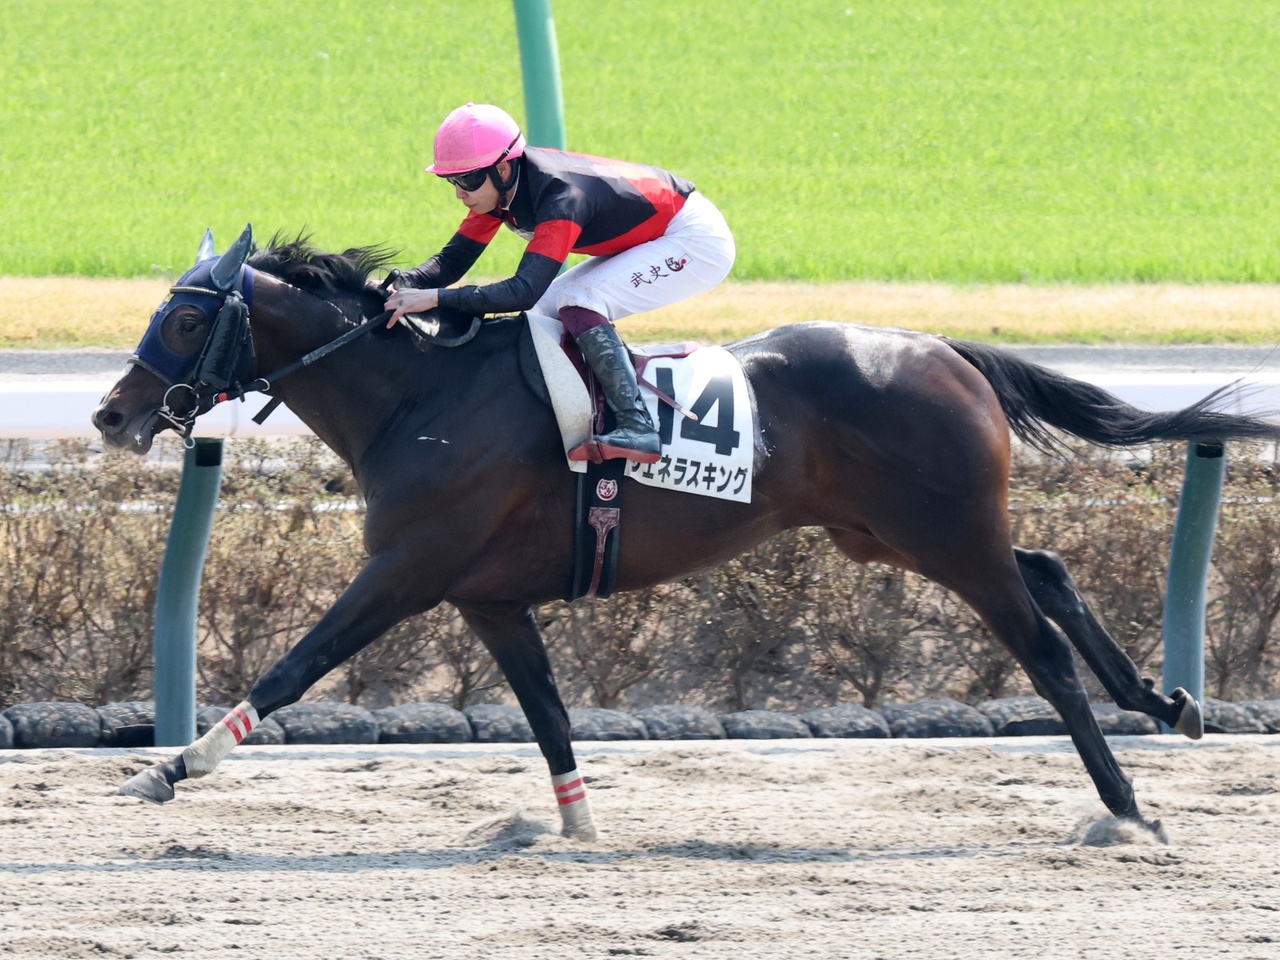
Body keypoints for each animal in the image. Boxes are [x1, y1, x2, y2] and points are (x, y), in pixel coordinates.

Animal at [93, 225, 1280, 842]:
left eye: (187, 316)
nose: (110, 413)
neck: (417, 398)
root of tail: (945, 348)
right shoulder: (487, 597)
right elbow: (546, 713)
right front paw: (573, 829)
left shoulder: (406, 571)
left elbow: (294, 667)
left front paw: (172, 769)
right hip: (891, 532)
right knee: (1047, 566)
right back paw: (1166, 705)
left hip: (944, 539)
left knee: (1037, 647)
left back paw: (1125, 808)